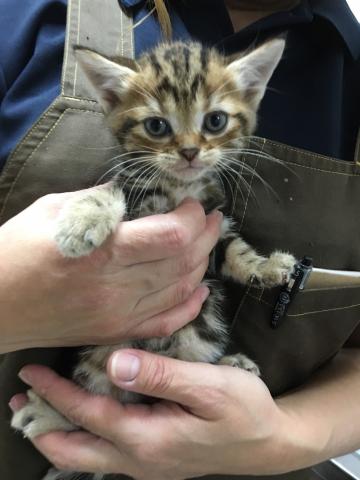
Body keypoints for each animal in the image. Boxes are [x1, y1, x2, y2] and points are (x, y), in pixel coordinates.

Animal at [11, 38, 296, 480]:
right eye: (157, 126)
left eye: (215, 121)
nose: (191, 152)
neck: (179, 188)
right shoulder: (135, 192)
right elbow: (108, 190)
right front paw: (81, 222)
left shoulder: (214, 230)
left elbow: (237, 253)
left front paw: (268, 267)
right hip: (98, 359)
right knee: (89, 402)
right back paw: (46, 413)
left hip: (195, 341)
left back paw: (230, 363)